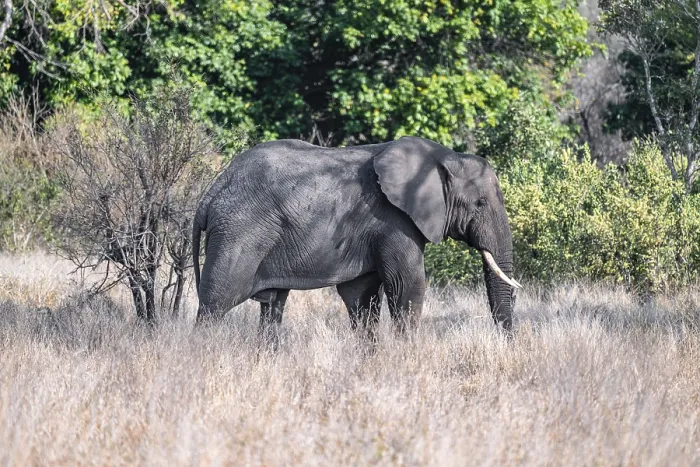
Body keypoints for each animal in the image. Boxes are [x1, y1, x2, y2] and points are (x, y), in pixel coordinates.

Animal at [192, 136, 520, 341]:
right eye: (479, 203)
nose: (509, 343)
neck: (444, 157)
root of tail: (212, 189)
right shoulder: (395, 221)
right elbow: (408, 287)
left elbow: (361, 297)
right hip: (239, 232)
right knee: (216, 302)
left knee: (272, 305)